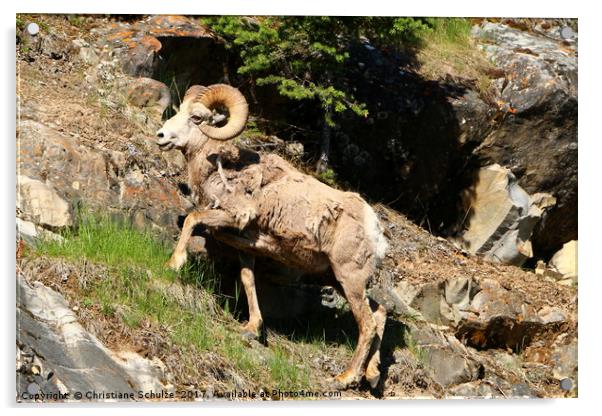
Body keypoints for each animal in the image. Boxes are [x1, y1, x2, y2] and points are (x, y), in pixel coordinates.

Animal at [157, 83, 386, 388]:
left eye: (196, 118)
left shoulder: (233, 216)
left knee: (368, 324)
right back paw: (372, 374)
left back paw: (345, 377)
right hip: (336, 279)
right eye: (180, 110)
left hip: (349, 279)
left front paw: (174, 263)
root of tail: (375, 230)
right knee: (380, 313)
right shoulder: (246, 246)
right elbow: (248, 279)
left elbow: (193, 220)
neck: (223, 169)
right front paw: (251, 327)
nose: (161, 136)